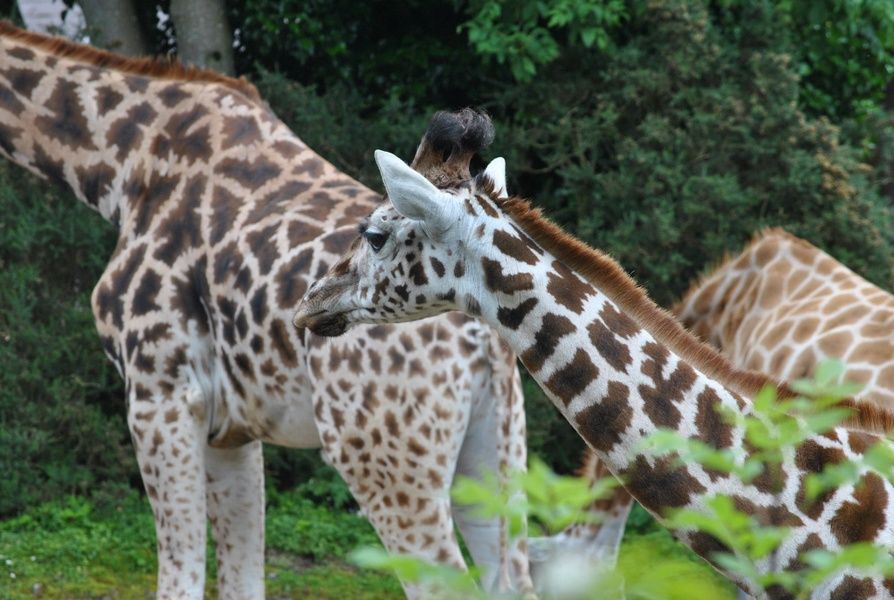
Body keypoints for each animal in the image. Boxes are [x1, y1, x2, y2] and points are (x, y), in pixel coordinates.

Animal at [0, 22, 532, 596]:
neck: (120, 163)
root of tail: (486, 334)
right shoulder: (231, 426)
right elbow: (243, 579)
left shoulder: (160, 393)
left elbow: (180, 578)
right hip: (497, 456)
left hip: (381, 455)